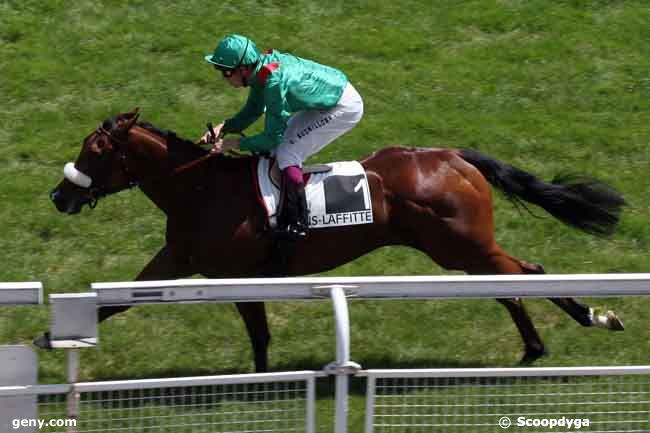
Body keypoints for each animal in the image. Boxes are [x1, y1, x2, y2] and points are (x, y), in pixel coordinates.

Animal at [46, 109, 624, 372]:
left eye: (96, 151)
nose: (59, 195)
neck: (201, 189)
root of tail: (454, 156)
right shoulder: (180, 260)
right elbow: (117, 302)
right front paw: (50, 338)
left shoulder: (234, 275)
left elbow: (259, 335)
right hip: (460, 252)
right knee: (510, 285)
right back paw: (534, 348)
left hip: (462, 246)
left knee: (526, 273)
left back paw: (588, 320)